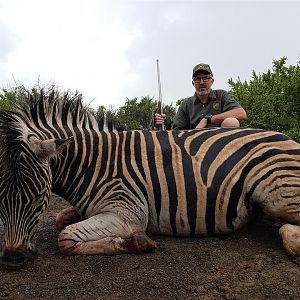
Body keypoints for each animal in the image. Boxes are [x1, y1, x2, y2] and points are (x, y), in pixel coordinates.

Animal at [0, 89, 298, 270]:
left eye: (39, 198)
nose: (13, 259)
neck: (93, 163)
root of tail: (287, 138)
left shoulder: (128, 213)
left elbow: (65, 238)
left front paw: (136, 242)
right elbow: (62, 220)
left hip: (278, 192)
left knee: (288, 230)